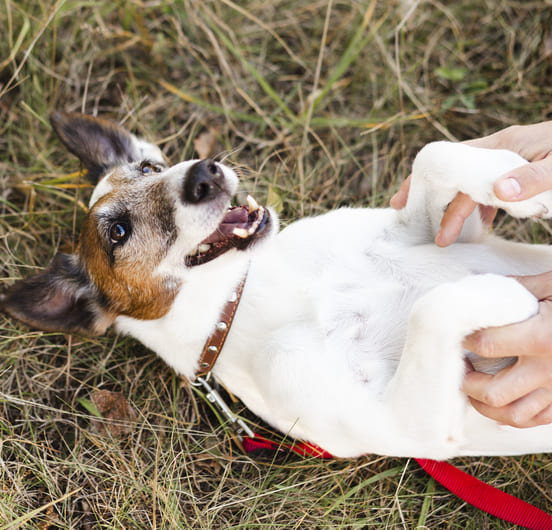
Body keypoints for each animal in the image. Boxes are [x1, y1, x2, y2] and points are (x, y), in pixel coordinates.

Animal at [3, 111, 552, 458]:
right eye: (118, 232)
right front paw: (507, 296)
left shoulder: (453, 232)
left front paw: (514, 178)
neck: (260, 294)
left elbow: (433, 154)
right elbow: (433, 309)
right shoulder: (413, 426)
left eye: (149, 166)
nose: (205, 173)